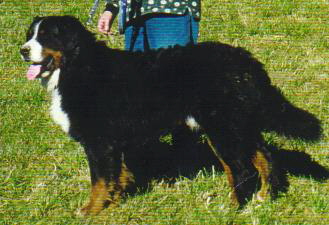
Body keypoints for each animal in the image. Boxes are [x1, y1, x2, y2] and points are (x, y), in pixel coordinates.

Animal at [19, 15, 320, 214]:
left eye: (46, 36)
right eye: (30, 35)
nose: (23, 50)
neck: (78, 66)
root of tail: (246, 60)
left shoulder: (99, 142)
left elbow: (100, 181)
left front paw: (91, 211)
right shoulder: (113, 143)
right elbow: (117, 176)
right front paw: (115, 203)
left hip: (222, 127)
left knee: (240, 169)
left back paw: (232, 208)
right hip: (238, 125)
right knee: (265, 157)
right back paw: (264, 197)